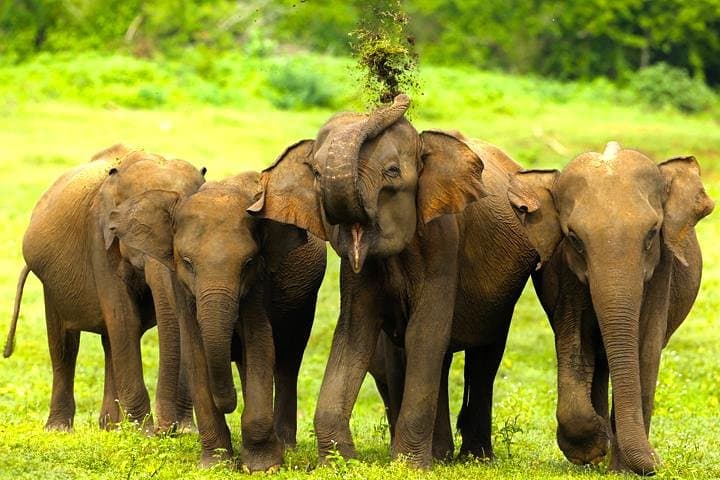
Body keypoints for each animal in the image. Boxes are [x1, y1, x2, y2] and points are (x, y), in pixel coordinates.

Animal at [4, 145, 205, 432]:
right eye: (134, 230)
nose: (167, 430)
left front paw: (185, 432)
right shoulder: (98, 236)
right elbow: (124, 318)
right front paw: (144, 433)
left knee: (110, 341)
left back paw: (110, 427)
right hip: (50, 284)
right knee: (65, 345)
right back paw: (60, 429)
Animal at [107, 171, 326, 471]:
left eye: (248, 262)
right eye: (187, 262)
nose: (229, 404)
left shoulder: (258, 284)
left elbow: (259, 344)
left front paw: (263, 467)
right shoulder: (180, 286)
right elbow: (196, 353)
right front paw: (216, 465)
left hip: (304, 300)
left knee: (287, 361)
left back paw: (285, 446)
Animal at [247, 94, 538, 468]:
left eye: (392, 172)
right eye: (315, 173)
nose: (396, 95)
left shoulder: (443, 242)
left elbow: (424, 334)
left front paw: (409, 465)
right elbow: (355, 333)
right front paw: (341, 462)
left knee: (483, 358)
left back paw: (474, 458)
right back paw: (441, 455)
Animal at [507, 142, 714, 474]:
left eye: (652, 233)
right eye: (574, 238)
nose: (658, 461)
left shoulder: (661, 272)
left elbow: (645, 351)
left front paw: (623, 469)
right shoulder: (565, 273)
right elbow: (575, 344)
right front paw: (592, 448)